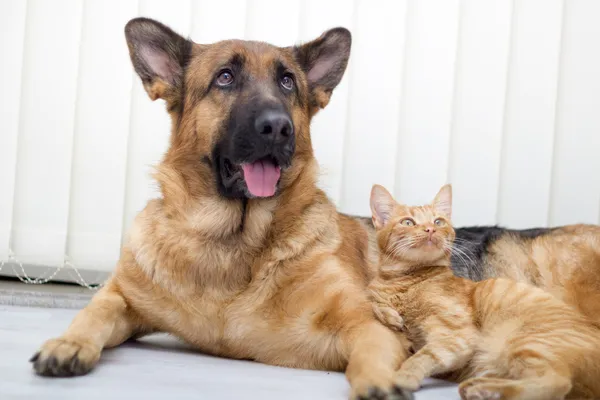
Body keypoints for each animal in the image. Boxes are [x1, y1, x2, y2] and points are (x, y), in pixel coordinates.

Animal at [368, 184, 600, 400]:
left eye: (438, 222)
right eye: (408, 222)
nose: (430, 230)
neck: (403, 281)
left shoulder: (458, 335)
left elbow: (424, 355)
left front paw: (401, 377)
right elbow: (373, 301)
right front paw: (389, 316)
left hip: (529, 340)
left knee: (557, 382)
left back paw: (484, 389)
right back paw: (483, 386)